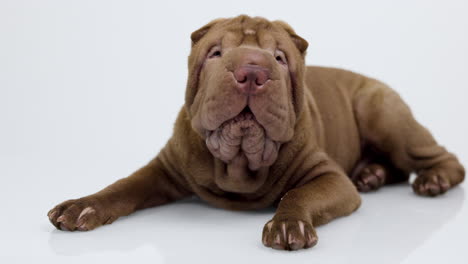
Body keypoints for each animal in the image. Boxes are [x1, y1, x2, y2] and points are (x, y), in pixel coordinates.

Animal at [47, 15, 464, 251]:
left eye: (279, 58)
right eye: (215, 53)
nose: (252, 70)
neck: (238, 161)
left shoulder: (329, 177)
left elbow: (298, 193)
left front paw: (288, 225)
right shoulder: (164, 167)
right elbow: (122, 186)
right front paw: (81, 206)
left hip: (381, 112)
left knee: (443, 159)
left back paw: (433, 180)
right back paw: (372, 175)